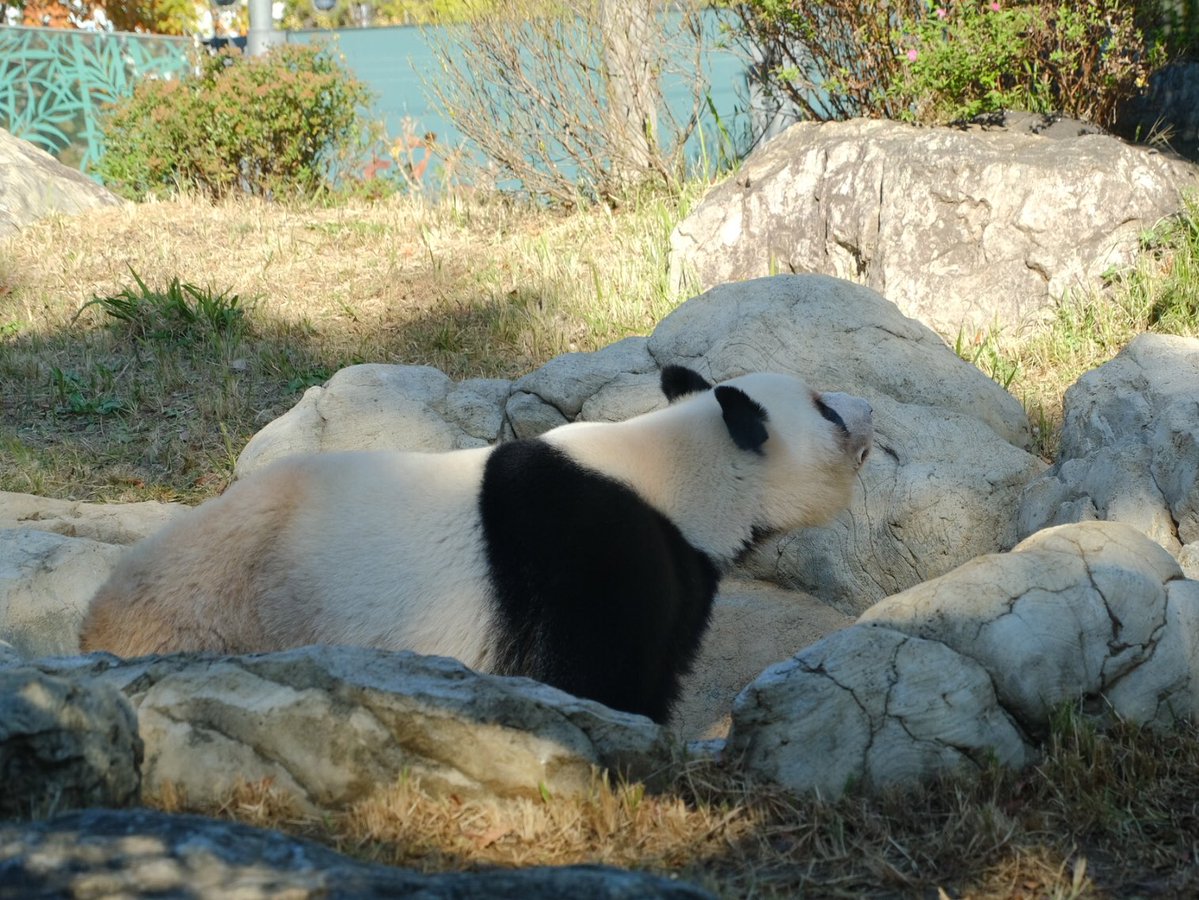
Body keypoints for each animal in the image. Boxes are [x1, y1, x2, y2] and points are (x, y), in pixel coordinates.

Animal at [80, 365, 872, 723]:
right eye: (825, 409)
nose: (867, 410)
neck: (675, 470)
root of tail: (96, 621)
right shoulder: (598, 545)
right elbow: (592, 669)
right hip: (219, 612)